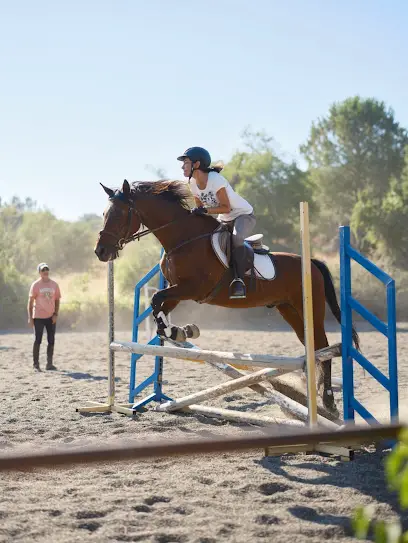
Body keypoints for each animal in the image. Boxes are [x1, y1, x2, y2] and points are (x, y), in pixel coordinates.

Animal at [94, 178, 358, 412]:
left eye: (118, 215)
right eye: (105, 214)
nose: (101, 252)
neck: (183, 239)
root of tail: (312, 263)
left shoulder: (194, 288)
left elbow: (156, 298)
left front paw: (177, 330)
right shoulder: (177, 290)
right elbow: (158, 305)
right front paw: (179, 331)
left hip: (309, 307)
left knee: (323, 347)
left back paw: (329, 401)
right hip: (289, 309)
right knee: (313, 347)